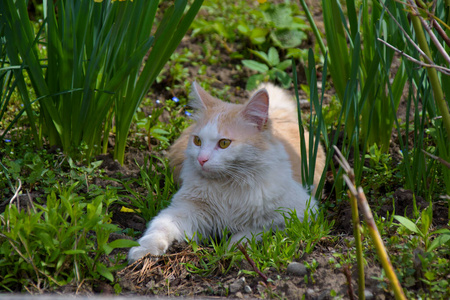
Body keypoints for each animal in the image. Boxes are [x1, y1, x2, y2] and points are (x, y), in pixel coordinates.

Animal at [128, 82, 326, 262]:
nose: (201, 159)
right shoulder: (185, 209)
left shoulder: (299, 215)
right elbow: (160, 227)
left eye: (224, 143)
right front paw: (142, 251)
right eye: (198, 141)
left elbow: (255, 231)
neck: (228, 186)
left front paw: (231, 249)